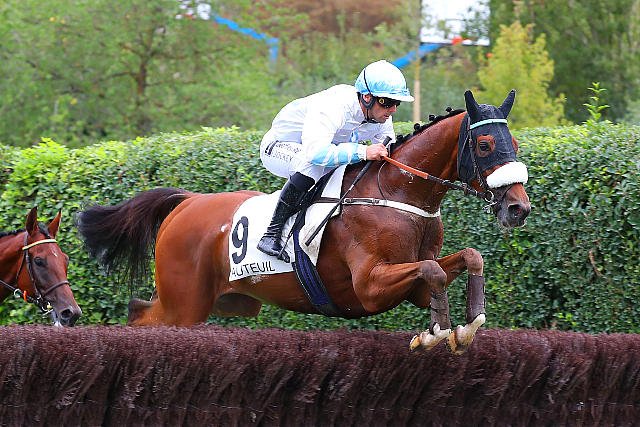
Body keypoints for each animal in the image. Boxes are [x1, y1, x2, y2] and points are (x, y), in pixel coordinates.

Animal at [77, 90, 530, 354]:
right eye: (485, 144)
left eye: (514, 142)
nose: (518, 208)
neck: (398, 193)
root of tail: (186, 203)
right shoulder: (370, 286)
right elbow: (433, 271)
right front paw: (437, 332)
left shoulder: (415, 285)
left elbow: (467, 258)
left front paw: (467, 324)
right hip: (183, 304)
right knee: (142, 318)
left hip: (217, 301)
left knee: (140, 310)